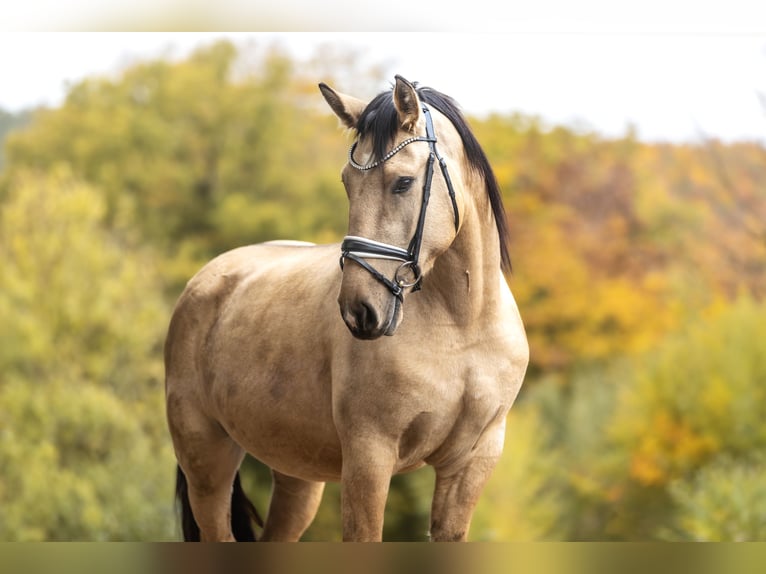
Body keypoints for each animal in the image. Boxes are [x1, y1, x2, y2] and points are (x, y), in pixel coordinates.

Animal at [165, 75, 529, 542]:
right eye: (346, 183)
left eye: (403, 182)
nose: (360, 310)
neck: (463, 328)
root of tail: (203, 282)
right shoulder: (369, 456)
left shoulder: (472, 461)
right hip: (207, 463)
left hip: (297, 476)